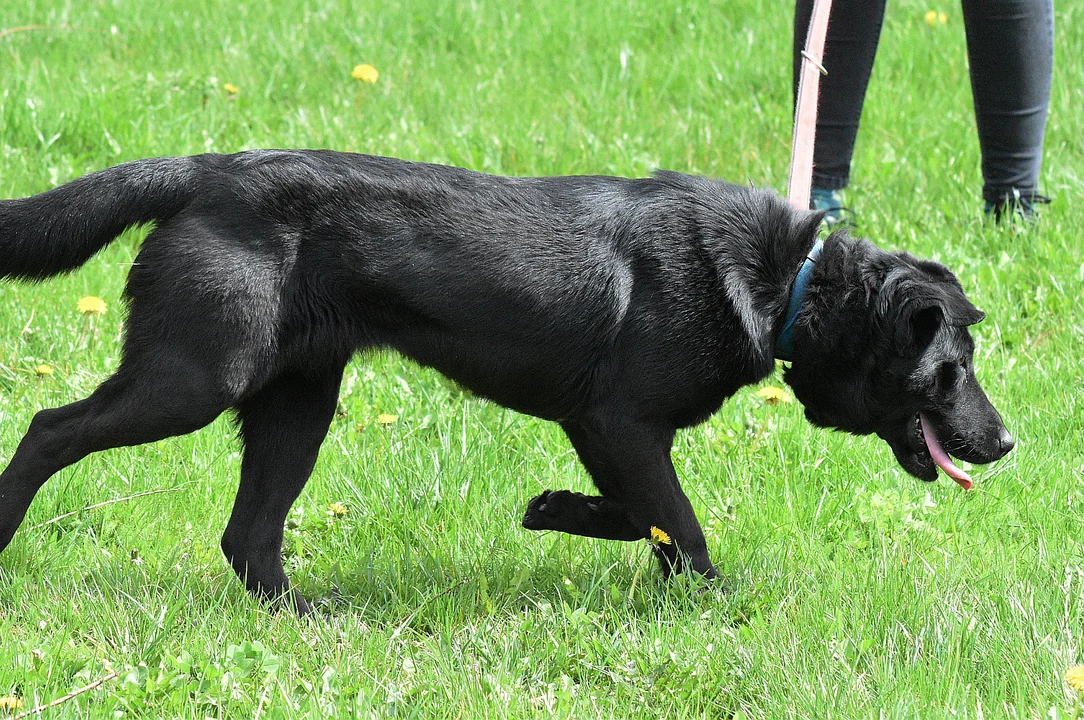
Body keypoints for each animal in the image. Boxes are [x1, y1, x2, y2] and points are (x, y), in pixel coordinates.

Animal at [0, 151, 1014, 611]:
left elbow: (642, 514)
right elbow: (678, 523)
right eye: (952, 369)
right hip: (194, 377)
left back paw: (308, 616)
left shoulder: (604, 433)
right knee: (50, 428)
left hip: (297, 404)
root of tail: (207, 169)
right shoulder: (618, 422)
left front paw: (556, 510)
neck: (792, 279)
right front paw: (710, 602)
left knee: (247, 536)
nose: (1006, 441)